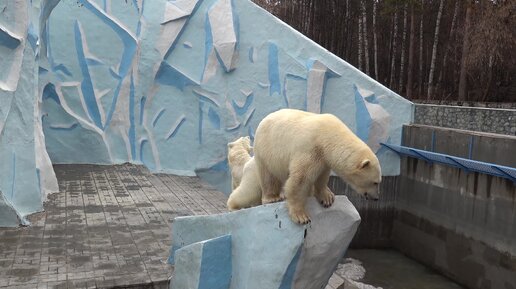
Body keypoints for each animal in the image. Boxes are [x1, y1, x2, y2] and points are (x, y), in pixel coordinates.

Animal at [252, 108, 380, 223]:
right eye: (375, 182)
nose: (376, 198)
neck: (328, 136)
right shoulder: (310, 149)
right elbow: (300, 180)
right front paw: (301, 216)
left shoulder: (324, 158)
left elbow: (322, 176)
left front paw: (327, 198)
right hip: (267, 150)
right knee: (268, 177)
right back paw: (272, 198)